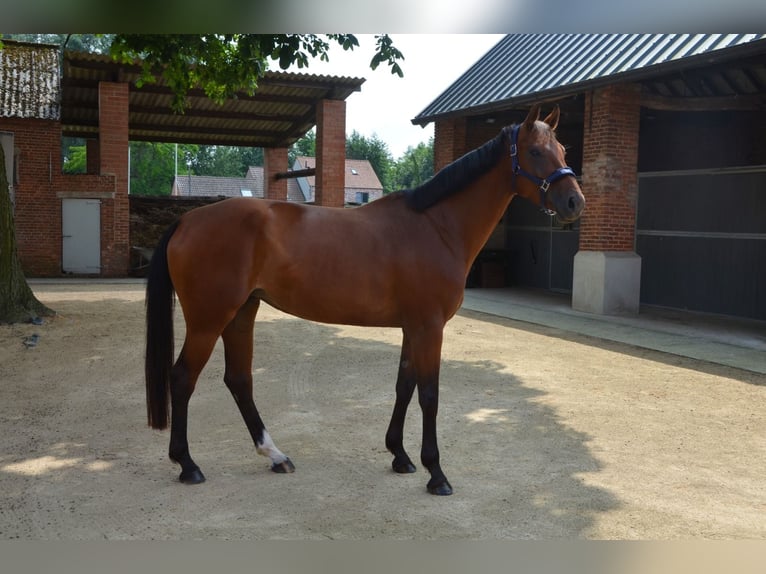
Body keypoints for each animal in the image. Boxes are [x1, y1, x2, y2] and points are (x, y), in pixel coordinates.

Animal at [146, 106, 588, 498]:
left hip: (242, 312)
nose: (574, 203)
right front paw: (436, 473)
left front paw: (400, 456)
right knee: (183, 378)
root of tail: (187, 220)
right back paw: (188, 464)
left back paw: (275, 456)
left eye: (563, 150)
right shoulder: (429, 326)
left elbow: (404, 384)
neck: (436, 226)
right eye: (535, 152)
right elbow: (429, 394)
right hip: (209, 319)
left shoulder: (414, 326)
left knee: (239, 380)